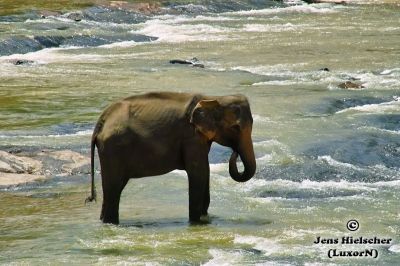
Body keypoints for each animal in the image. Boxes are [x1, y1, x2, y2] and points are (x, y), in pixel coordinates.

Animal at [86, 91, 256, 224]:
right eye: (236, 127)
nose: (234, 152)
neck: (213, 98)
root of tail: (101, 123)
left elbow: (205, 172)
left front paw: (204, 218)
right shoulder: (191, 137)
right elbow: (198, 172)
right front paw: (196, 222)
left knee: (114, 189)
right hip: (113, 149)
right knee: (113, 188)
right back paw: (111, 223)